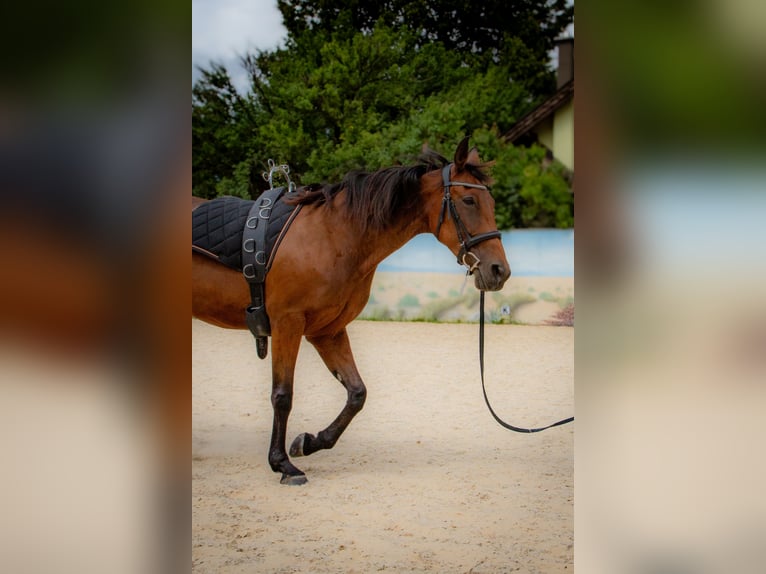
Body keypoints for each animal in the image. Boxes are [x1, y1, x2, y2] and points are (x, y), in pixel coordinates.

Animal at [194, 138, 510, 486]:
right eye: (469, 200)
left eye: (490, 201)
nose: (499, 271)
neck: (333, 236)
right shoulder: (287, 324)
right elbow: (283, 395)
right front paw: (282, 463)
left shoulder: (326, 331)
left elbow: (357, 393)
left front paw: (309, 442)